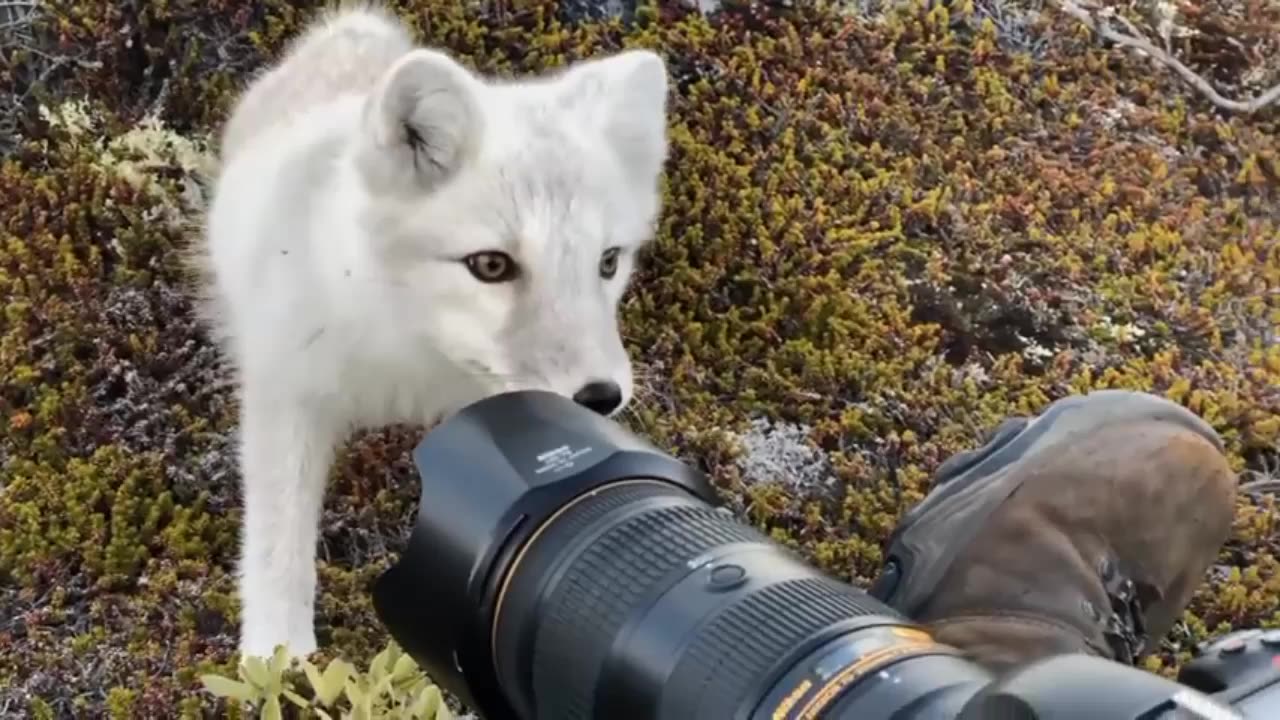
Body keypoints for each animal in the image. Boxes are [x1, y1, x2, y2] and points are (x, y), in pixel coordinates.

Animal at [192, 2, 670, 661]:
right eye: (490, 265)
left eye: (608, 261)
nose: (601, 397)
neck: (408, 357)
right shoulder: (286, 397)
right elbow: (277, 545)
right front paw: (279, 659)